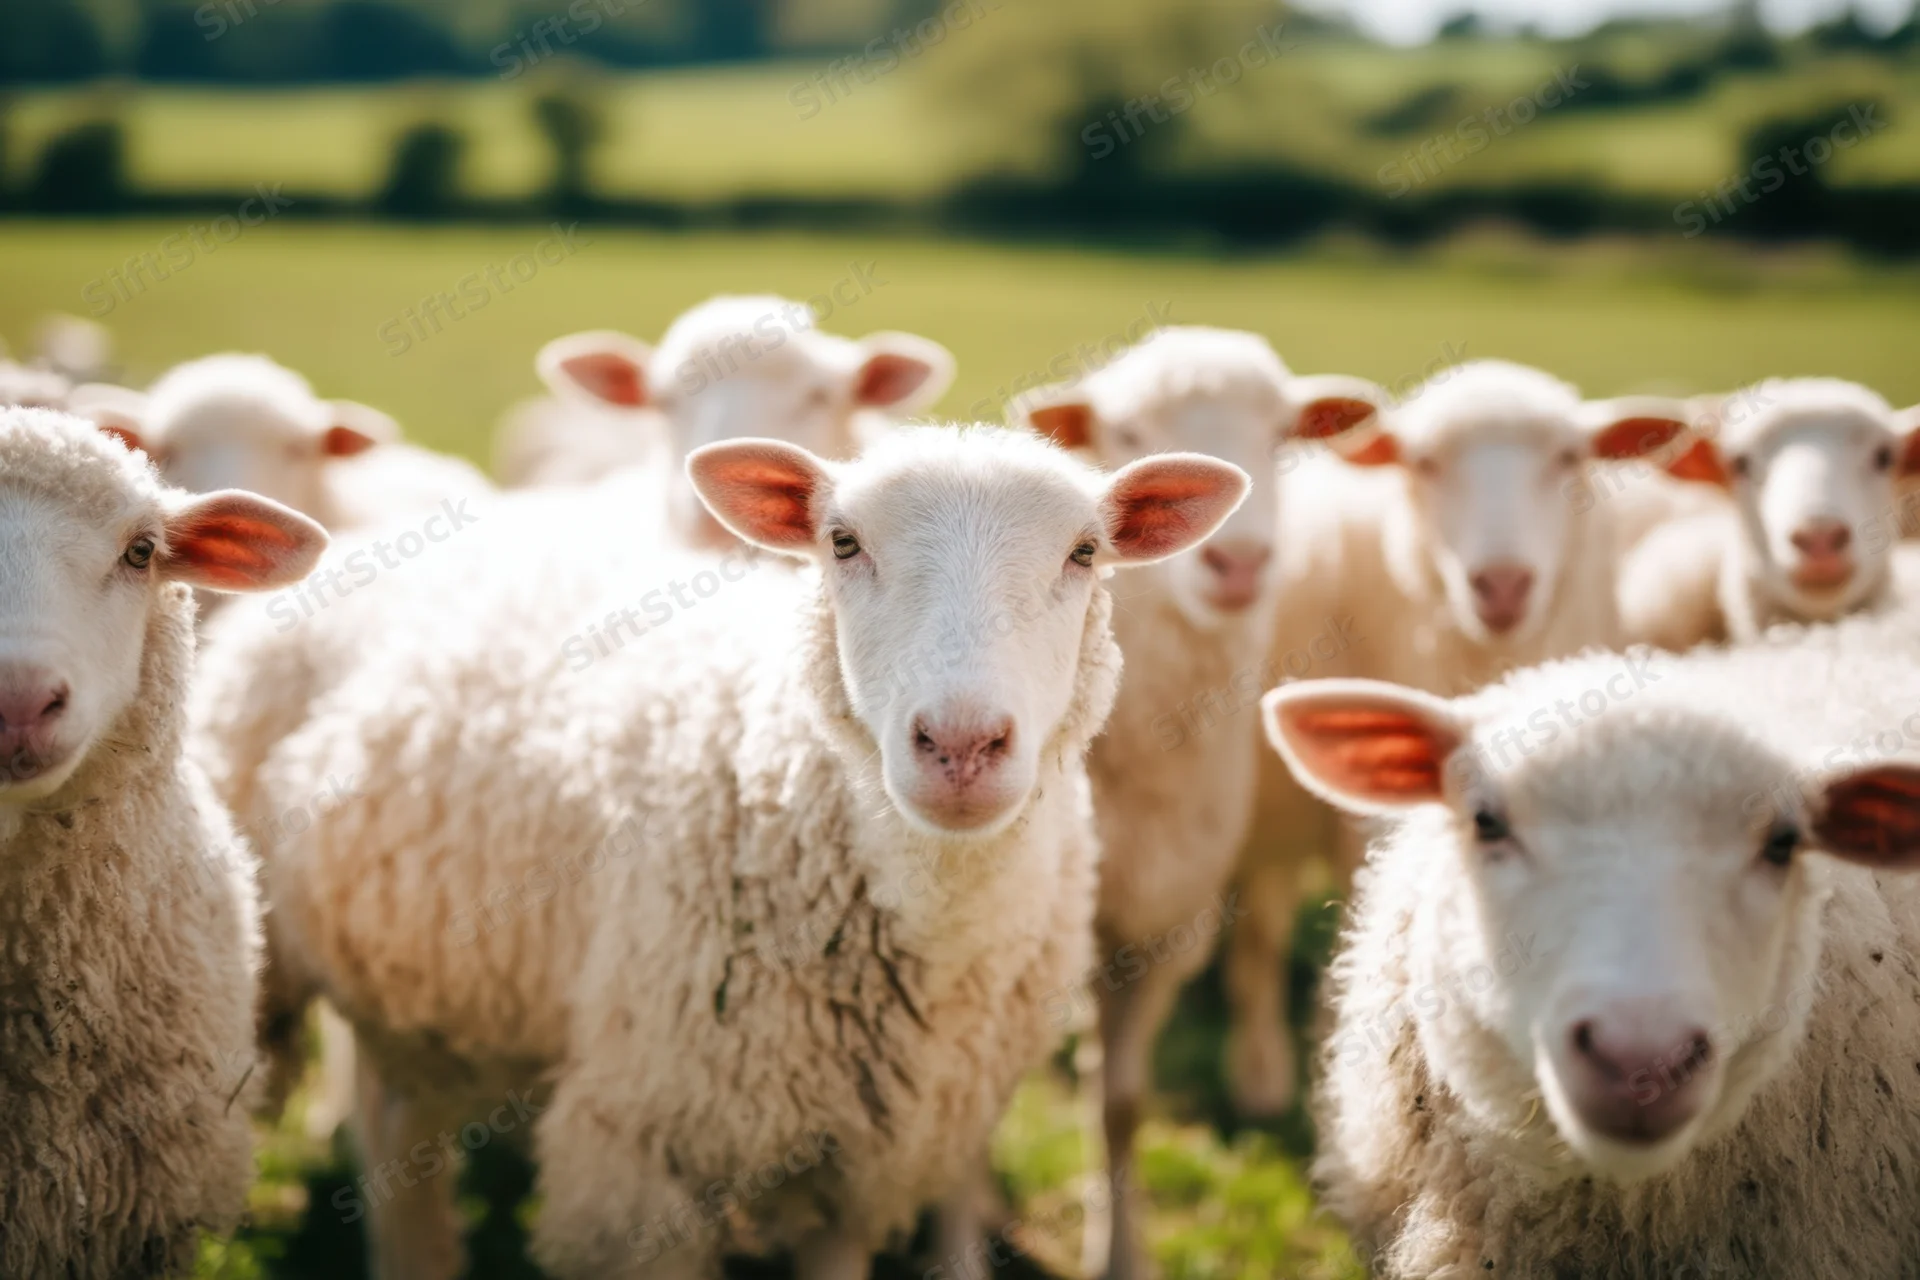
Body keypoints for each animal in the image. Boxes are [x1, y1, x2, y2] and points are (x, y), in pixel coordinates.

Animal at [189, 424, 1249, 1279]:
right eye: (842, 542)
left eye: (1085, 552)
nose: (960, 745)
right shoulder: (641, 1161)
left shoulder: (857, 1170)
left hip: (420, 997)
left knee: (397, 1122)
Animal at [1017, 326, 1381, 1280]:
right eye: (1125, 432)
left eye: (1282, 434)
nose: (1239, 562)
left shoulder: (1167, 921)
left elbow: (1123, 1101)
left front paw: (1122, 1252)